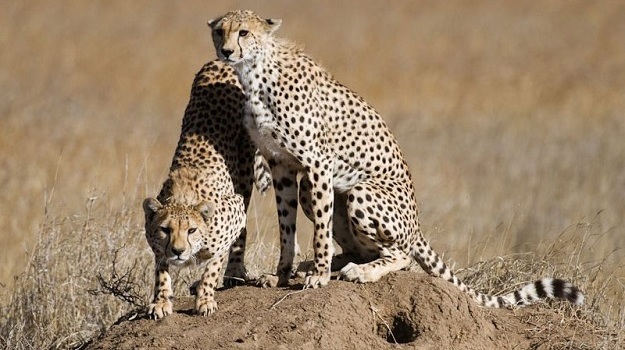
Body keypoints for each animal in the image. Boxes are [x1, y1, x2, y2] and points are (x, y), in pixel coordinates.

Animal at [143, 60, 270, 320]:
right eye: (164, 229)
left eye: (191, 230)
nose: (178, 251)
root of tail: (220, 62)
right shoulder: (157, 244)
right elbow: (161, 270)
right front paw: (160, 301)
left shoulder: (233, 211)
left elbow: (213, 265)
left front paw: (205, 299)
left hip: (244, 170)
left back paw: (235, 272)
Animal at [210, 9, 584, 308]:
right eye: (220, 31)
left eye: (243, 32)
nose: (226, 51)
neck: (255, 74)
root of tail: (417, 226)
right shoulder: (283, 167)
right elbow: (286, 226)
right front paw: (282, 274)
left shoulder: (317, 164)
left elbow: (319, 232)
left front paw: (318, 275)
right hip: (321, 193)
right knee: (361, 247)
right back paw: (333, 265)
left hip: (361, 191)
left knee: (400, 255)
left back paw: (359, 272)